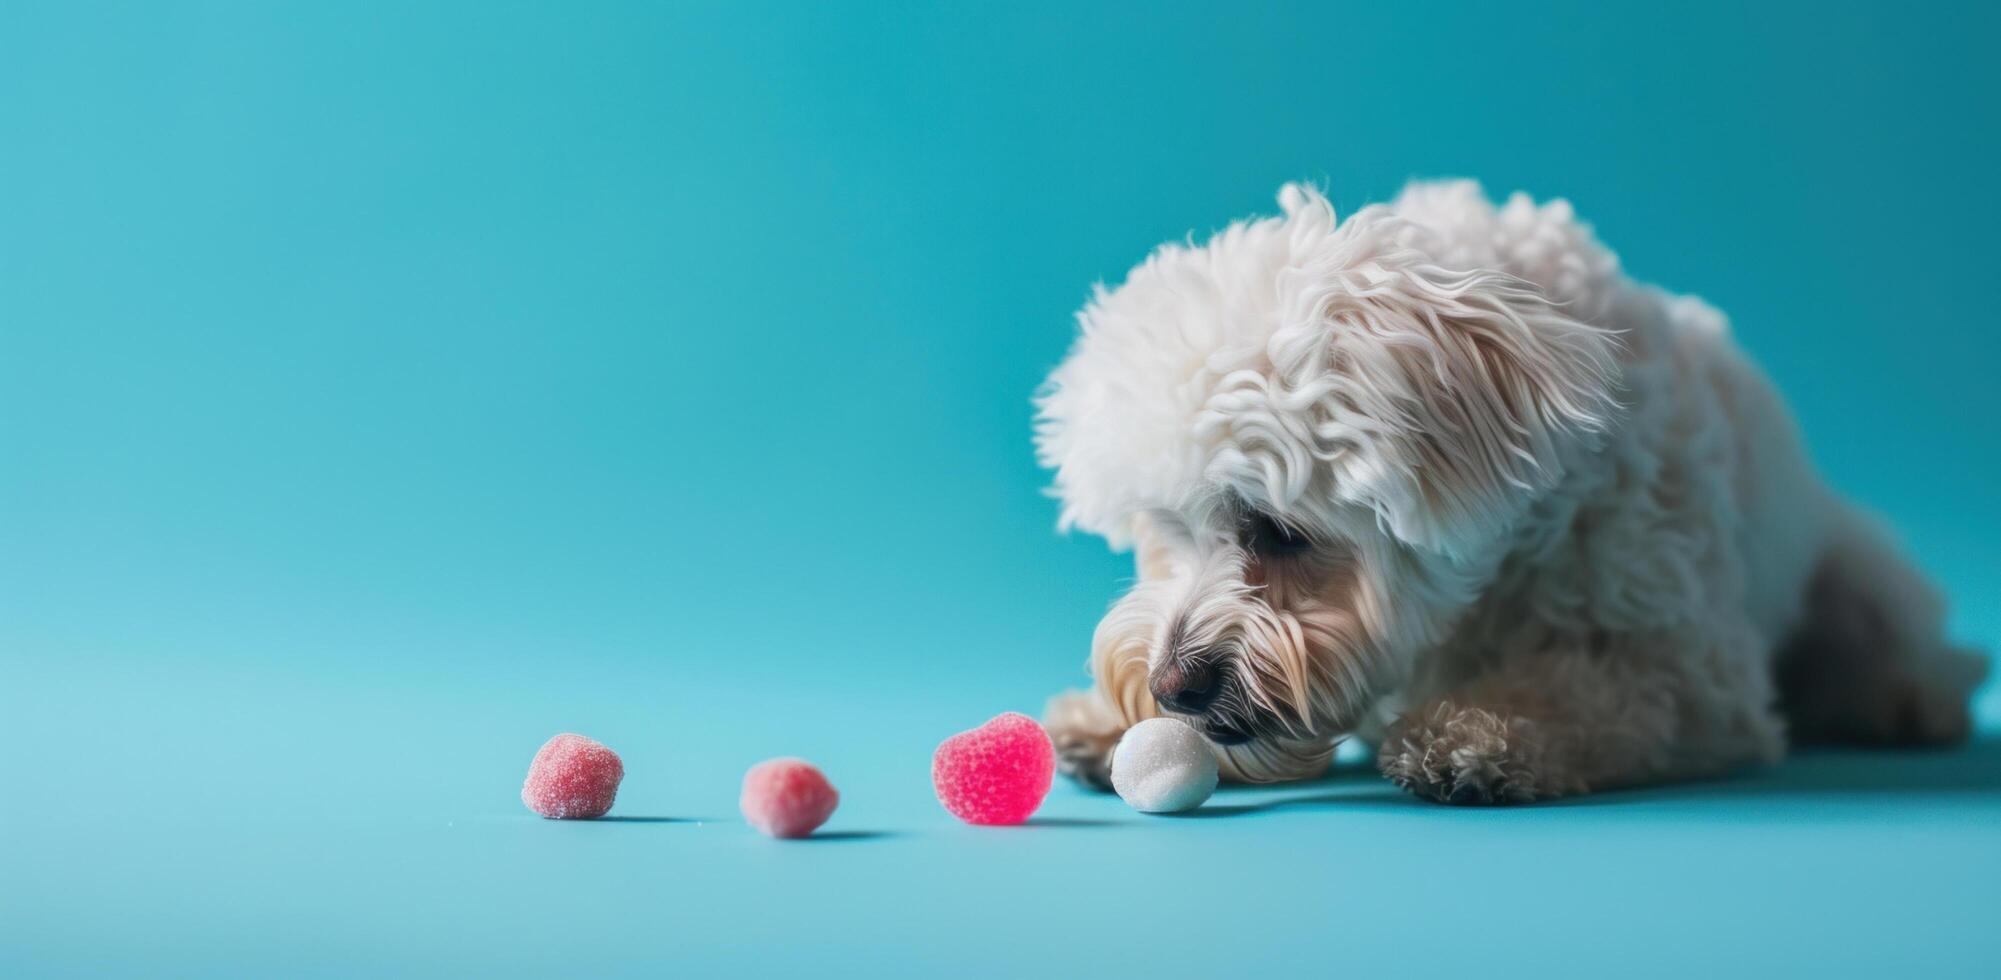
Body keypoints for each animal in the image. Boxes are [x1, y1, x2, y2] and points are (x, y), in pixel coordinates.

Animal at [1048, 182, 1984, 804]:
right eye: (1162, 531)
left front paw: (1477, 731)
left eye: (1278, 532)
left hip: (1858, 577)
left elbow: (1588, 691)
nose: (1171, 688)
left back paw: (1908, 697)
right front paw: (1103, 717)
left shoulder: (1692, 675)